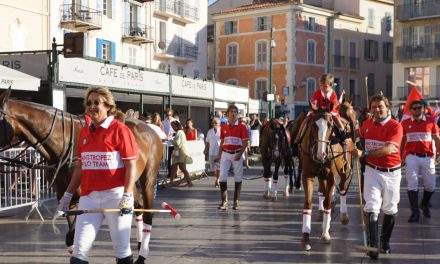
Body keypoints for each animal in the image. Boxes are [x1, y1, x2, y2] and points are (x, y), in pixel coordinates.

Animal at [0, 89, 162, 264]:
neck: (64, 147)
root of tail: (150, 129)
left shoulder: (79, 199)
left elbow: (72, 237)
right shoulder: (65, 197)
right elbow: (72, 240)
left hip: (148, 180)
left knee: (148, 213)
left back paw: (142, 254)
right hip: (129, 183)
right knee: (138, 206)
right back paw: (139, 243)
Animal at [300, 100, 354, 251]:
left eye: (330, 126)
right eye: (313, 125)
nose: (321, 155)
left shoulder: (331, 176)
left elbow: (328, 201)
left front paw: (325, 233)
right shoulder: (307, 175)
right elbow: (308, 202)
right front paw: (305, 235)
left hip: (344, 169)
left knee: (342, 188)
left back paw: (343, 215)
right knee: (323, 193)